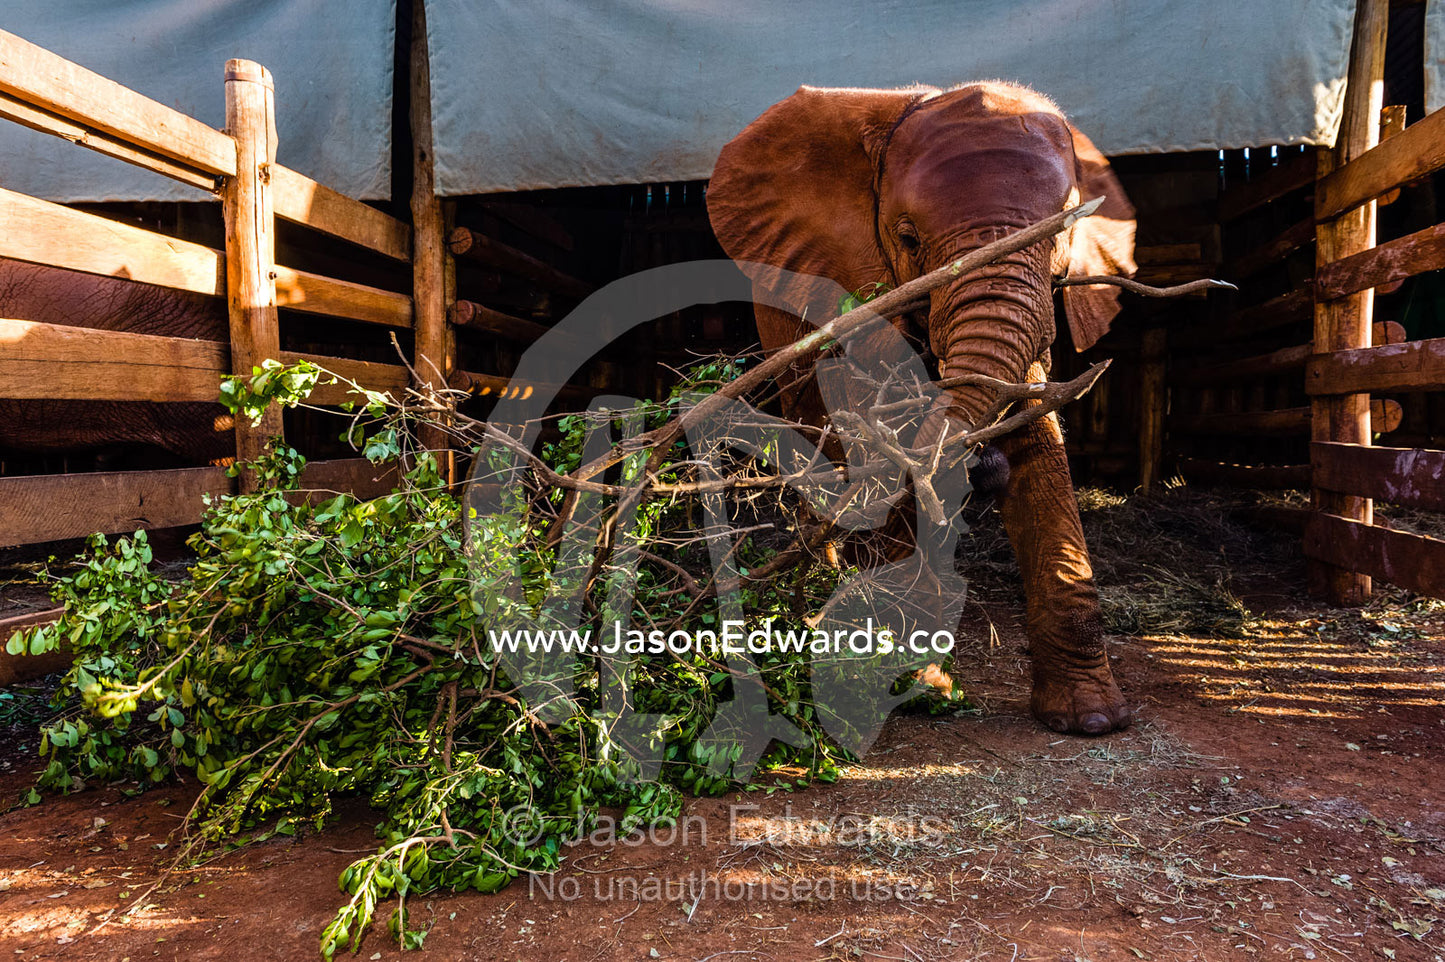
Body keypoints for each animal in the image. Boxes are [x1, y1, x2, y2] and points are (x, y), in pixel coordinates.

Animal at [706, 82, 1136, 735]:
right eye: (907, 239)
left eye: (1062, 237)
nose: (984, 469)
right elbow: (883, 438)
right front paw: (916, 680)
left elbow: (1038, 444)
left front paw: (1090, 720)